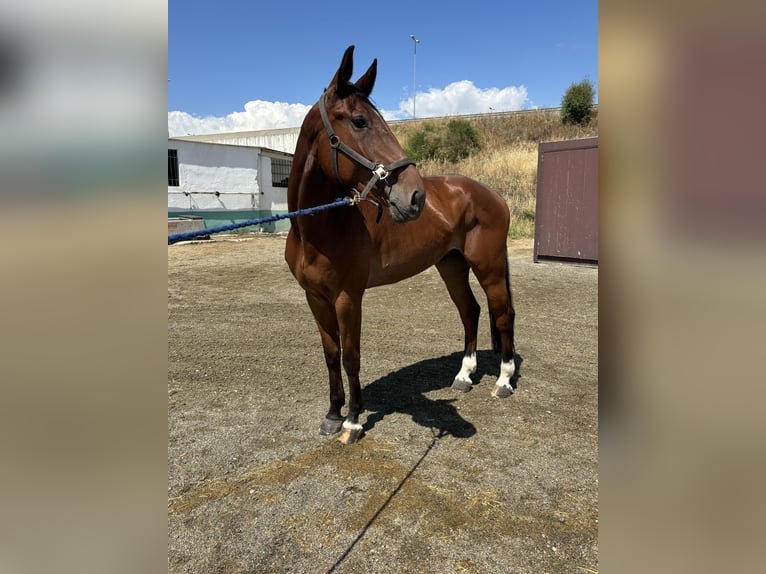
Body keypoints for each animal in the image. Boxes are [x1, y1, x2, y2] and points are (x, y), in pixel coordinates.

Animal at [286, 48, 516, 446]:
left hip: (489, 267)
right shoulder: (315, 297)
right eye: (360, 121)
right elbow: (331, 355)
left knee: (502, 314)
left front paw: (353, 422)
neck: (316, 228)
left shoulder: (348, 297)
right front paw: (332, 415)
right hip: (451, 265)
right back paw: (463, 376)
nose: (415, 196)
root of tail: (492, 195)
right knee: (470, 311)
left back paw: (503, 380)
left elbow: (351, 357)